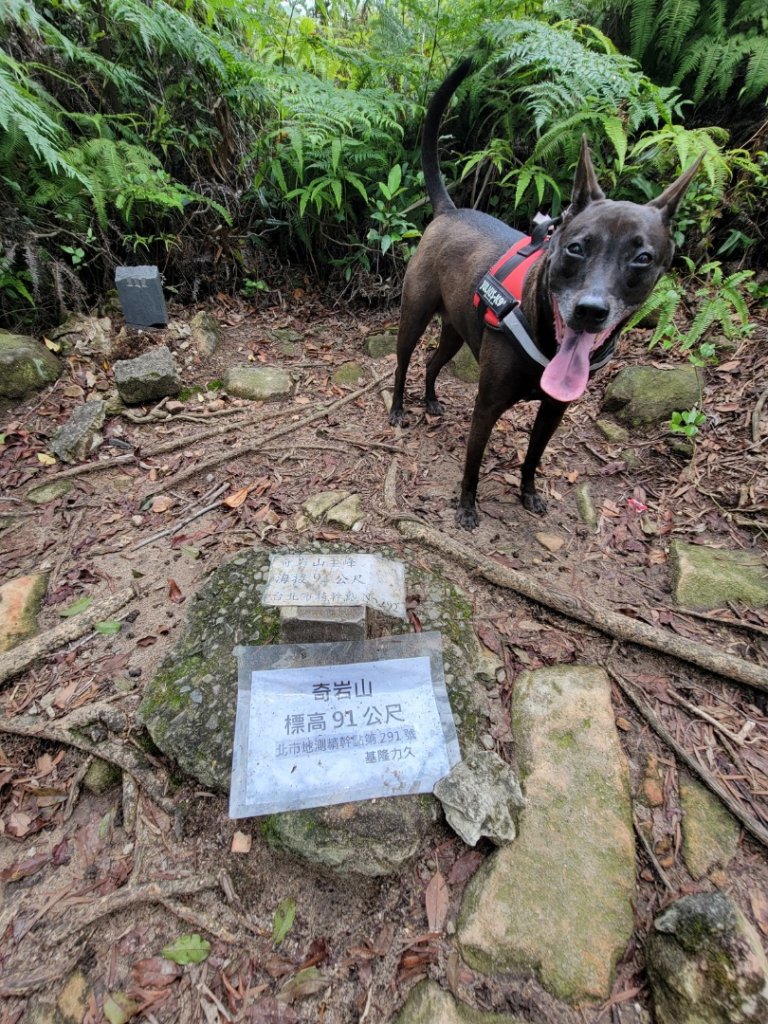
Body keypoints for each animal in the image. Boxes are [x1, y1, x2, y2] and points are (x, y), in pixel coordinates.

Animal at [391, 58, 704, 528]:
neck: (545, 335)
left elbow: (533, 458)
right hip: (414, 315)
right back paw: (397, 409)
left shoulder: (554, 411)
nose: (590, 310)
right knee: (404, 360)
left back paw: (429, 401)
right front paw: (467, 508)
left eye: (643, 258)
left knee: (432, 363)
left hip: (455, 331)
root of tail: (450, 210)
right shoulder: (487, 405)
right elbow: (472, 464)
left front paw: (528, 494)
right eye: (575, 247)